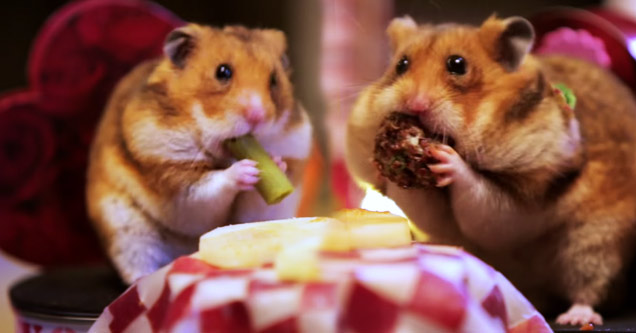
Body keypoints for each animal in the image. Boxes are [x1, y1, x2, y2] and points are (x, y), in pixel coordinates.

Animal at [84, 23, 314, 282]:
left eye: (274, 80)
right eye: (222, 72)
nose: (258, 116)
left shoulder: (265, 203)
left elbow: (258, 201)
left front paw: (277, 163)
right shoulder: (177, 185)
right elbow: (209, 186)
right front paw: (245, 169)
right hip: (126, 232)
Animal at [346, 14, 636, 324]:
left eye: (458, 64)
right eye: (401, 64)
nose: (415, 104)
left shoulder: (523, 199)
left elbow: (483, 200)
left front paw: (447, 158)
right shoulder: (434, 218)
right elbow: (420, 202)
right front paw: (387, 163)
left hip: (593, 244)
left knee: (590, 289)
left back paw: (574, 317)